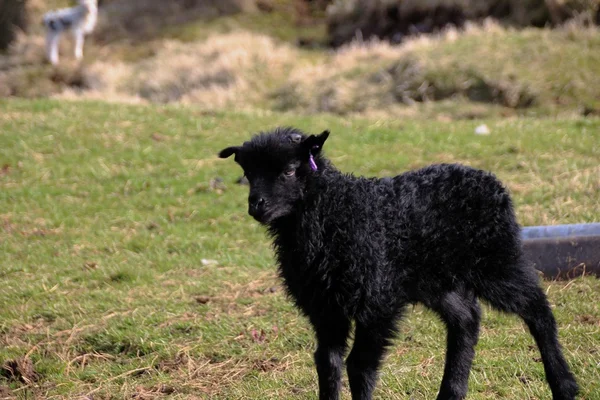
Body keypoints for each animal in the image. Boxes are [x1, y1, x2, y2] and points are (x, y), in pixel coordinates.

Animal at [218, 126, 580, 398]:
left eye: (290, 170)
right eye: (248, 173)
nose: (257, 206)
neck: (334, 212)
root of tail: (488, 178)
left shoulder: (377, 301)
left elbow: (359, 366)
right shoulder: (325, 307)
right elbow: (328, 363)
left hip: (496, 259)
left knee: (536, 308)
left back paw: (564, 385)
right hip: (437, 280)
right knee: (467, 319)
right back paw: (451, 392)